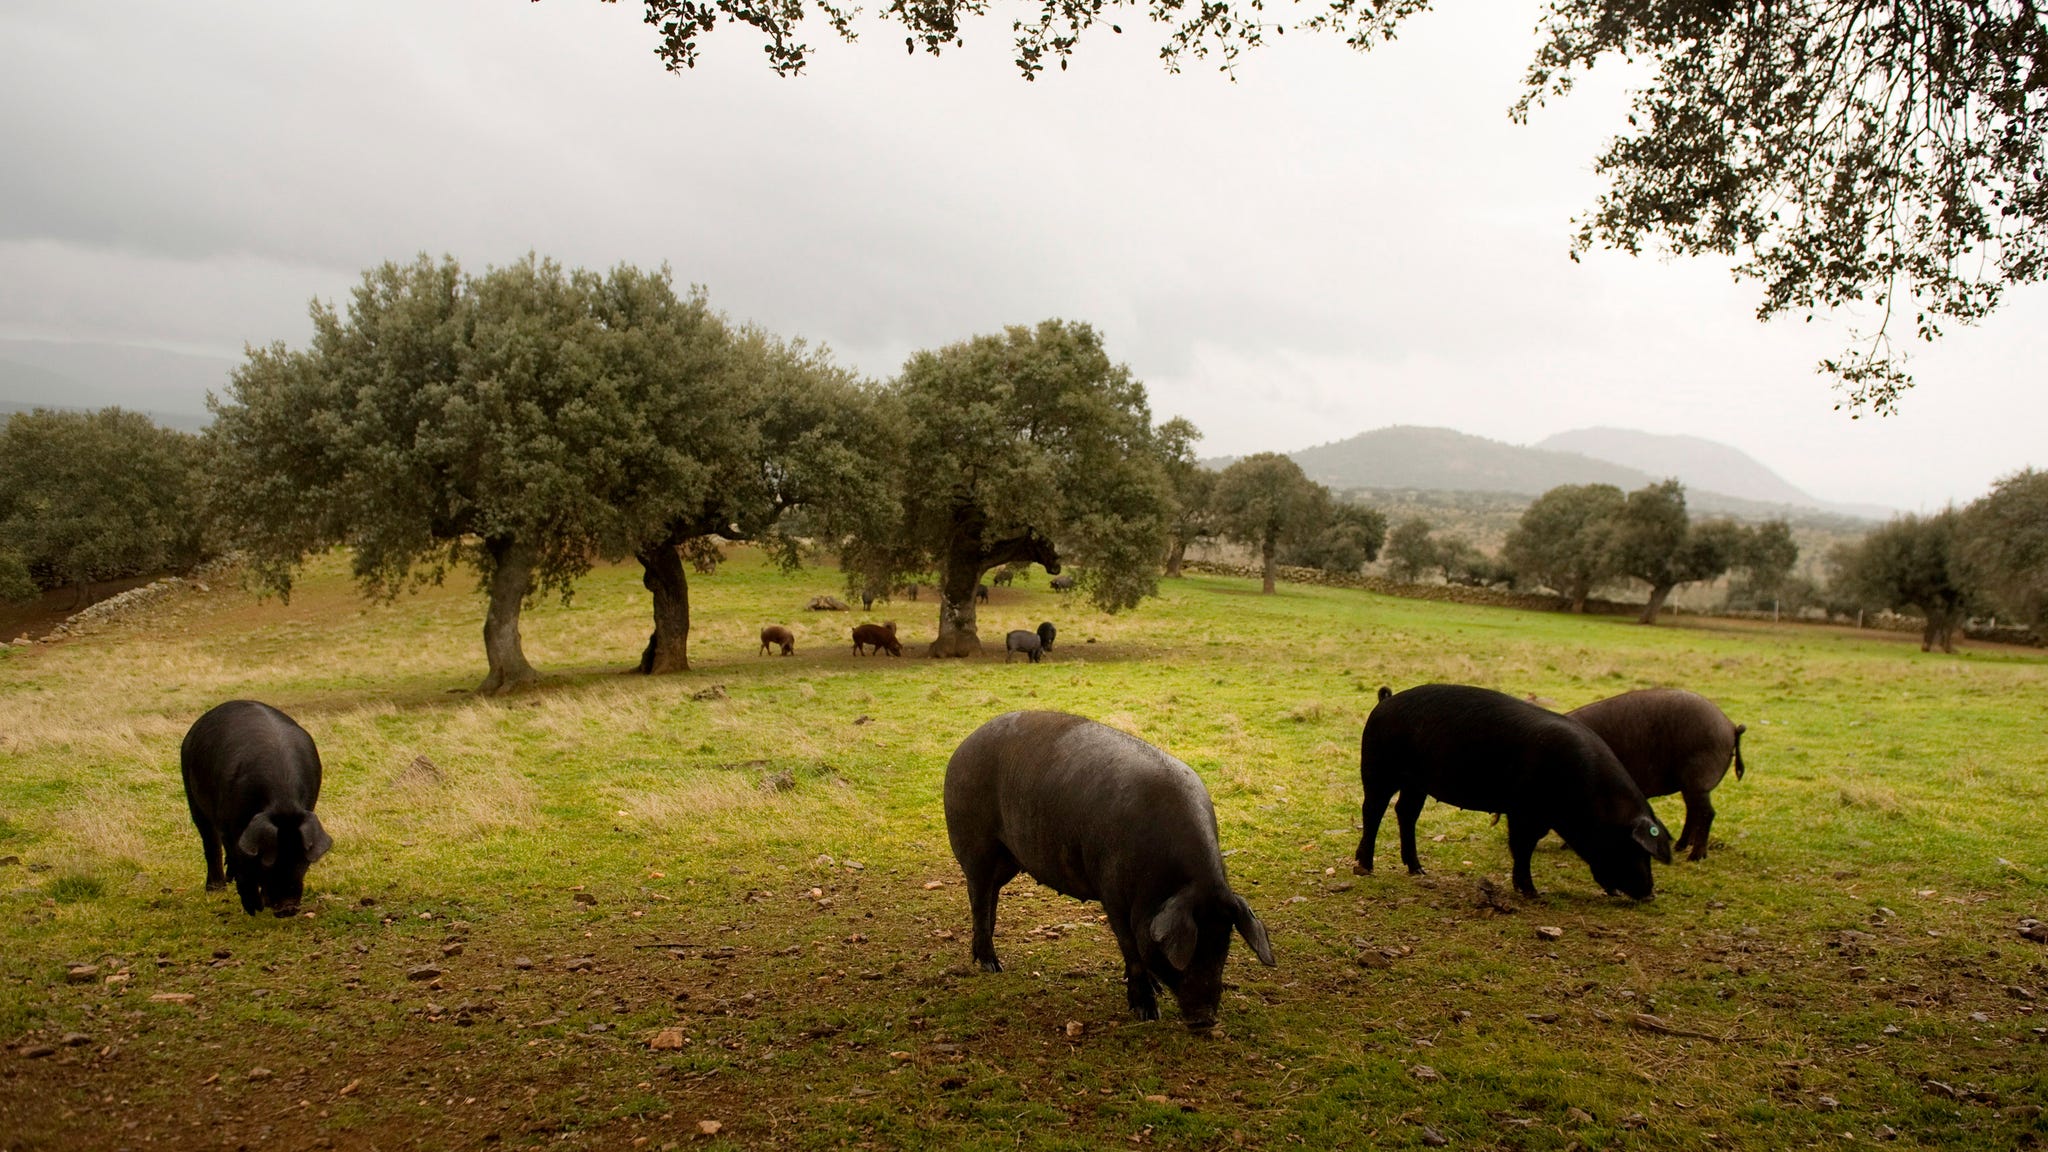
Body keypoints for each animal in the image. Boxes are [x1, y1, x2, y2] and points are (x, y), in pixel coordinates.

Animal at [178, 701, 329, 914]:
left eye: (303, 860)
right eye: (268, 860)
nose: (287, 907)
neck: (282, 801)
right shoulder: (227, 822)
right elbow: (237, 855)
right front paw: (253, 909)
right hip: (191, 792)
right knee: (210, 841)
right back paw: (216, 890)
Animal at [946, 709, 1277, 1020]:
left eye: (1224, 944)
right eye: (1188, 949)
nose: (1205, 1018)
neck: (1162, 882)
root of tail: (963, 746)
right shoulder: (1112, 894)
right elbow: (1131, 948)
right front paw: (1147, 1012)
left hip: (1008, 860)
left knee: (991, 898)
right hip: (976, 846)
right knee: (978, 898)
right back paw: (992, 966)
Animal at [1351, 680, 1671, 897]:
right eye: (1633, 847)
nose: (1649, 892)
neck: (1591, 795)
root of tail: (1385, 701)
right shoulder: (1525, 811)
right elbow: (1522, 846)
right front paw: (1531, 892)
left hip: (1417, 782)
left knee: (1405, 812)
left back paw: (1418, 870)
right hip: (1378, 768)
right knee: (1373, 810)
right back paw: (1364, 868)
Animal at [1564, 684, 1744, 856]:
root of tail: (1730, 726)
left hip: (1698, 780)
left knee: (1707, 813)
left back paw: (1695, 856)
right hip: (1689, 785)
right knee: (1693, 812)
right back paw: (1679, 846)